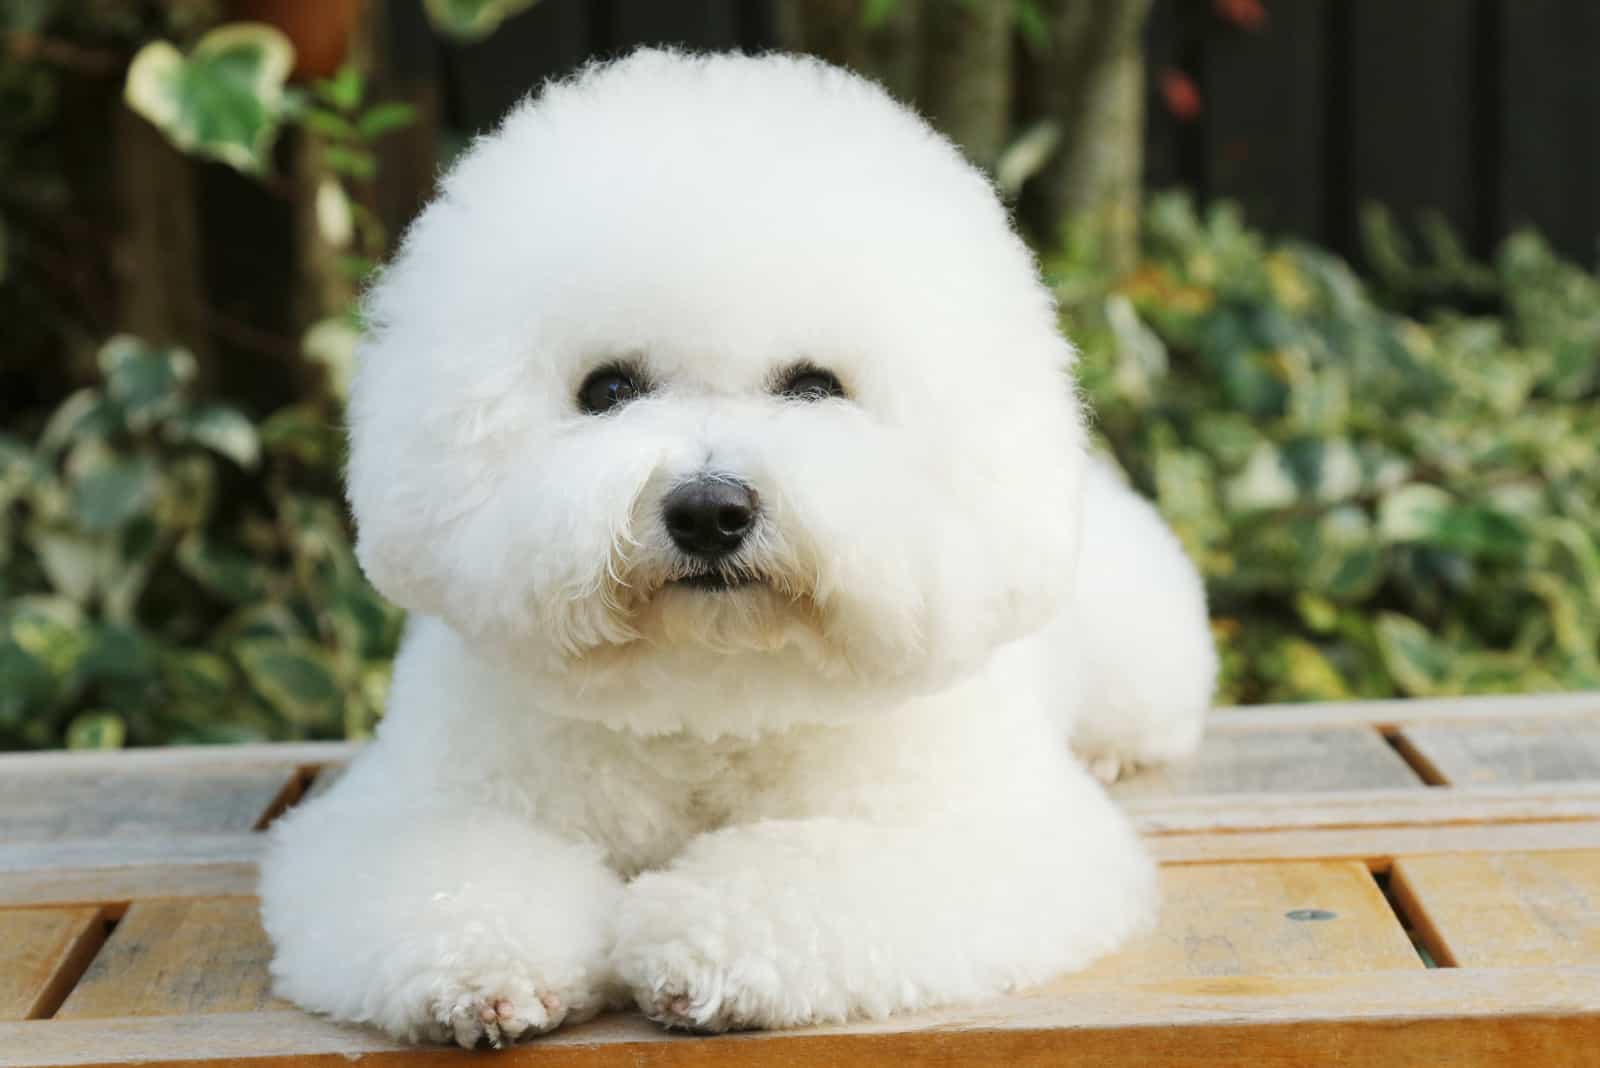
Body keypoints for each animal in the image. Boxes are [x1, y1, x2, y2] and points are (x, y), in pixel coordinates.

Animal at [262, 49, 1209, 1048]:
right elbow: (453, 880)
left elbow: (818, 875)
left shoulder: (969, 827)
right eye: (607, 390)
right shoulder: (421, 805)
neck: (709, 700)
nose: (711, 512)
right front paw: (483, 968)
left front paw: (703, 951)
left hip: (1140, 664)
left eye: (815, 386)